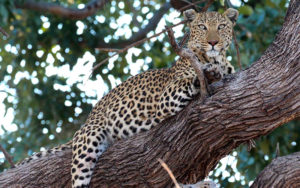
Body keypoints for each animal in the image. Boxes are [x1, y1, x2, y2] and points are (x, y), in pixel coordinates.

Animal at [18, 7, 239, 188]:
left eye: (221, 27)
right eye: (202, 27)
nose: (213, 42)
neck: (218, 60)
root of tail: (87, 121)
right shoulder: (167, 97)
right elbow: (191, 79)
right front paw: (208, 73)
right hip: (88, 140)